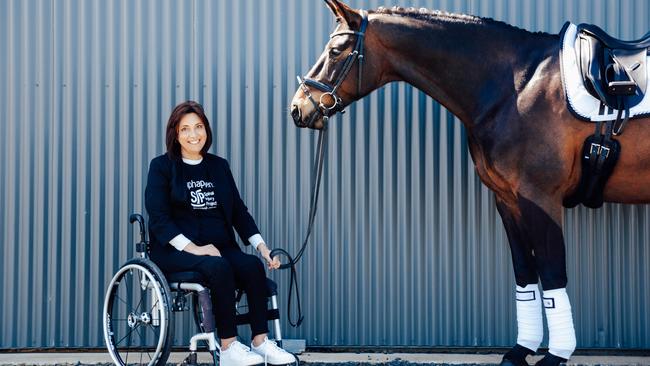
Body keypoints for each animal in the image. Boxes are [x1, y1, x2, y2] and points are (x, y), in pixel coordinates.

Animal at [290, 0, 648, 366]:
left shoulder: (540, 197)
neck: (515, 86)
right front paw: (521, 350)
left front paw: (556, 355)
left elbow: (551, 273)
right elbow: (525, 273)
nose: (297, 108)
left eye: (335, 51)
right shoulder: (508, 199)